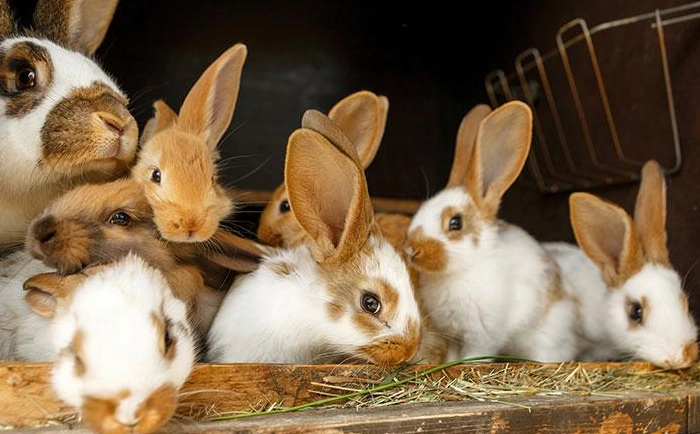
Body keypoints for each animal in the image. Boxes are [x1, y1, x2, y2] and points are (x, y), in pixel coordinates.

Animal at [404, 100, 579, 363]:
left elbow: (476, 354)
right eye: (421, 209)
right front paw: (448, 364)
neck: (461, 269)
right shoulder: (452, 334)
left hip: (544, 338)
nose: (411, 250)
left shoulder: (482, 334)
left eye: (455, 223)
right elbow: (452, 356)